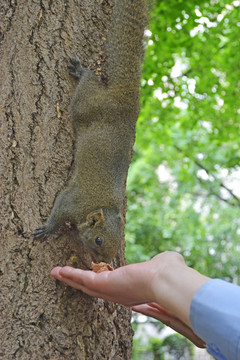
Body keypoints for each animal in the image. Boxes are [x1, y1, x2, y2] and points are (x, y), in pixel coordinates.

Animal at [32, 0, 147, 262]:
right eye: (98, 240)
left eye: (115, 247)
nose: (104, 262)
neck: (98, 207)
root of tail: (127, 102)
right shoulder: (72, 201)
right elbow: (58, 210)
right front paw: (48, 228)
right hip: (87, 105)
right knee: (88, 83)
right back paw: (82, 71)